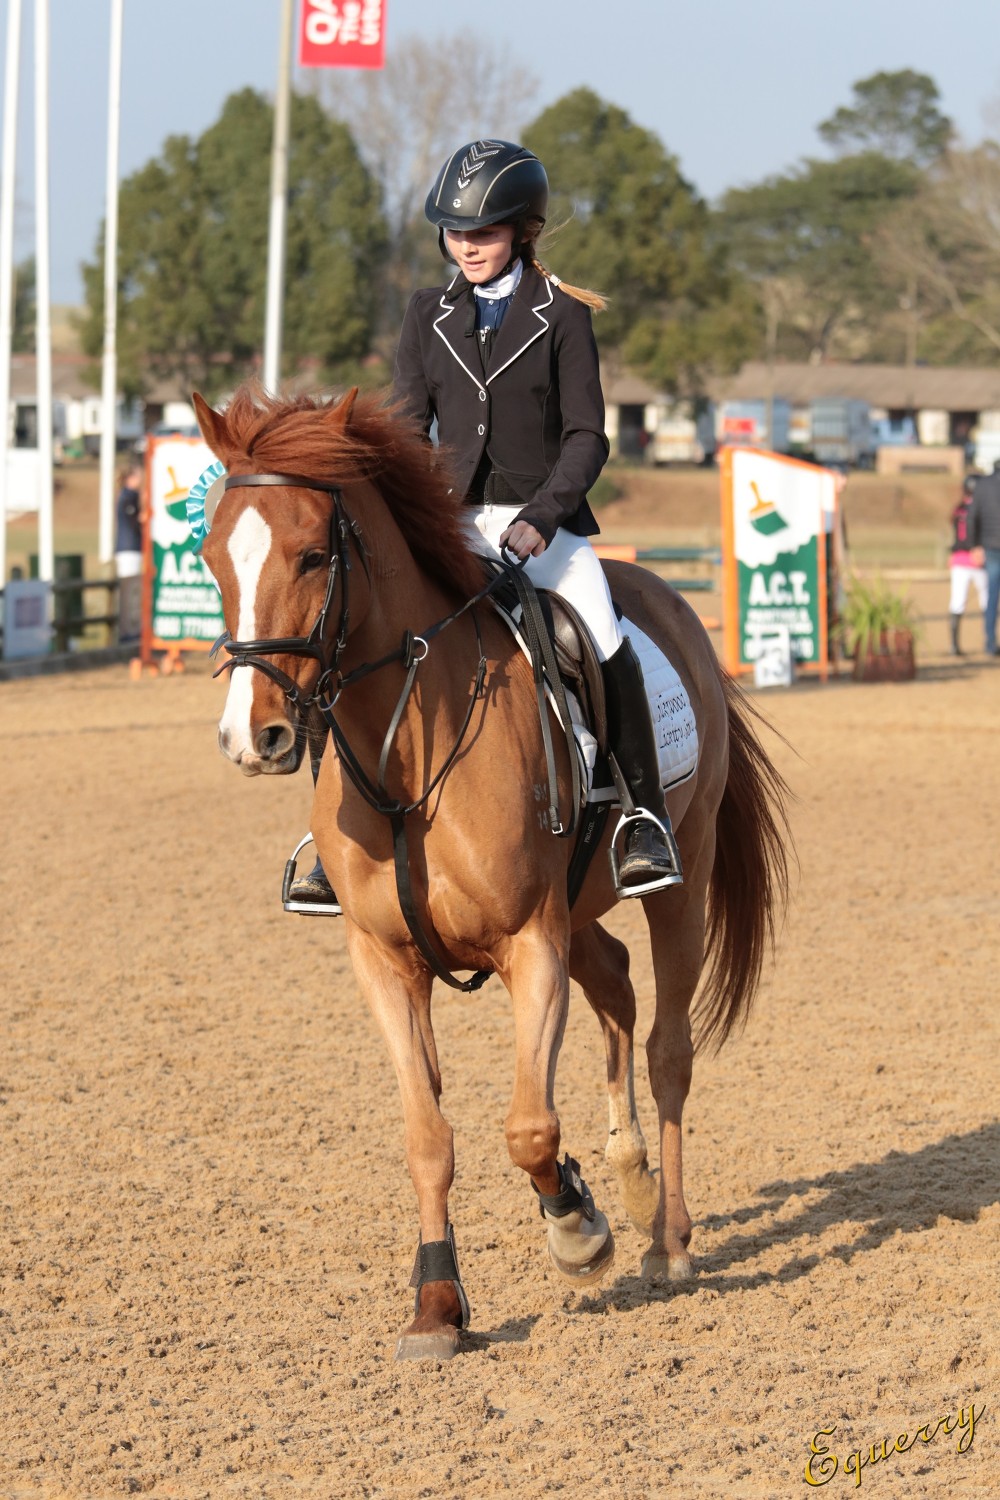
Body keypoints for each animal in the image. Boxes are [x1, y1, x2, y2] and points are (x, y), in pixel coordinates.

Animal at [193, 384, 791, 1362]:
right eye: (210, 559)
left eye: (314, 554)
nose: (255, 738)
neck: (407, 754)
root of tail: (665, 600)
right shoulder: (385, 963)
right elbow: (427, 1137)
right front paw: (438, 1305)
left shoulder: (529, 945)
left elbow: (528, 1129)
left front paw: (578, 1230)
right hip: (582, 906)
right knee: (616, 986)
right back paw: (630, 1180)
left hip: (683, 877)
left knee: (668, 1047)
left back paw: (665, 1241)